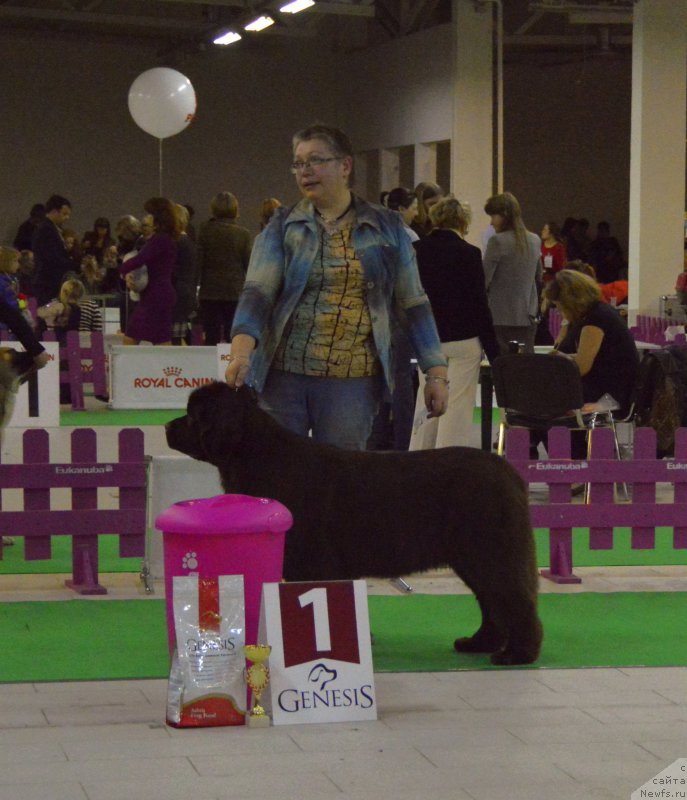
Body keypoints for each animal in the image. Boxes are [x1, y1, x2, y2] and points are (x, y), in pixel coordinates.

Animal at [167, 382, 544, 664]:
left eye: (194, 415)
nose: (168, 426)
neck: (258, 456)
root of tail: (508, 471)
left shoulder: (311, 561)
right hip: (474, 557)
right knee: (492, 601)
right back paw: (480, 643)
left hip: (491, 551)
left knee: (513, 597)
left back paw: (518, 654)